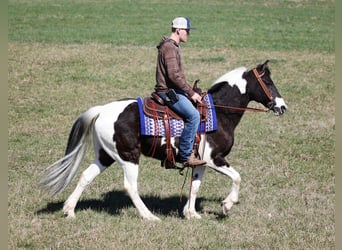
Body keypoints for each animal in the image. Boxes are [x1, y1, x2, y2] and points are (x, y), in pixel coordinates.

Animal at [40, 60, 288, 221]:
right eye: (268, 82)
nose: (282, 107)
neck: (219, 112)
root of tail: (102, 110)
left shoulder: (201, 162)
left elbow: (195, 187)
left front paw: (191, 213)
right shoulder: (215, 159)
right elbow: (237, 177)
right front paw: (227, 205)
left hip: (105, 156)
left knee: (85, 177)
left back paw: (69, 210)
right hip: (129, 156)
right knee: (130, 186)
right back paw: (149, 217)